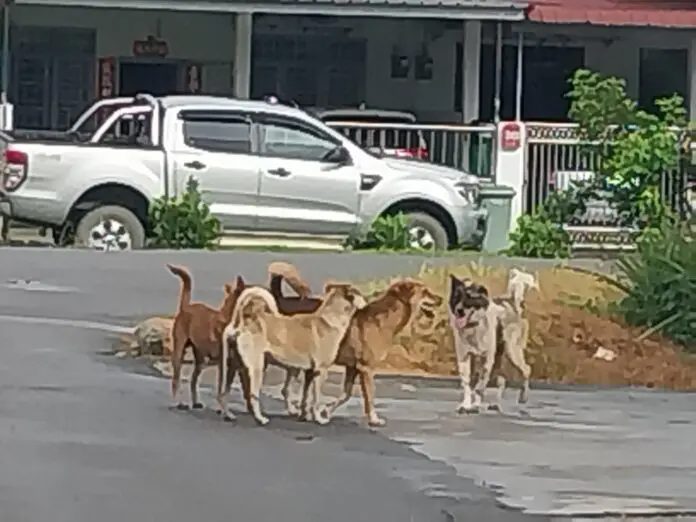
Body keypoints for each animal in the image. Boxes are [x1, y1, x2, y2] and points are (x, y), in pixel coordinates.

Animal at [167, 264, 246, 410]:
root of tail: (186, 307)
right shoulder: (223, 363)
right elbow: (221, 386)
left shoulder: (235, 364)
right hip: (179, 353)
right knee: (176, 379)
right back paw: (178, 402)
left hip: (201, 360)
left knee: (193, 380)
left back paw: (195, 402)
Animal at [219, 282, 367, 426]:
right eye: (360, 294)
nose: (367, 303)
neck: (330, 318)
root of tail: (243, 321)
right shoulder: (321, 371)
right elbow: (316, 400)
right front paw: (319, 419)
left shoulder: (310, 372)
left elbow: (305, 397)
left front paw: (304, 416)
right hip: (257, 367)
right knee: (253, 395)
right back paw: (260, 419)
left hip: (231, 366)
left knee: (224, 391)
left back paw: (228, 414)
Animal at [449, 269, 538, 414]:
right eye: (457, 297)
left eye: (470, 297)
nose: (459, 310)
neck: (474, 326)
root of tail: (511, 302)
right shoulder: (464, 358)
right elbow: (467, 384)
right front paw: (466, 404)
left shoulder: (487, 360)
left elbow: (479, 386)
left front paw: (475, 405)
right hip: (499, 358)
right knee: (502, 380)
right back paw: (495, 403)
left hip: (512, 351)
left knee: (526, 370)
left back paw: (523, 396)